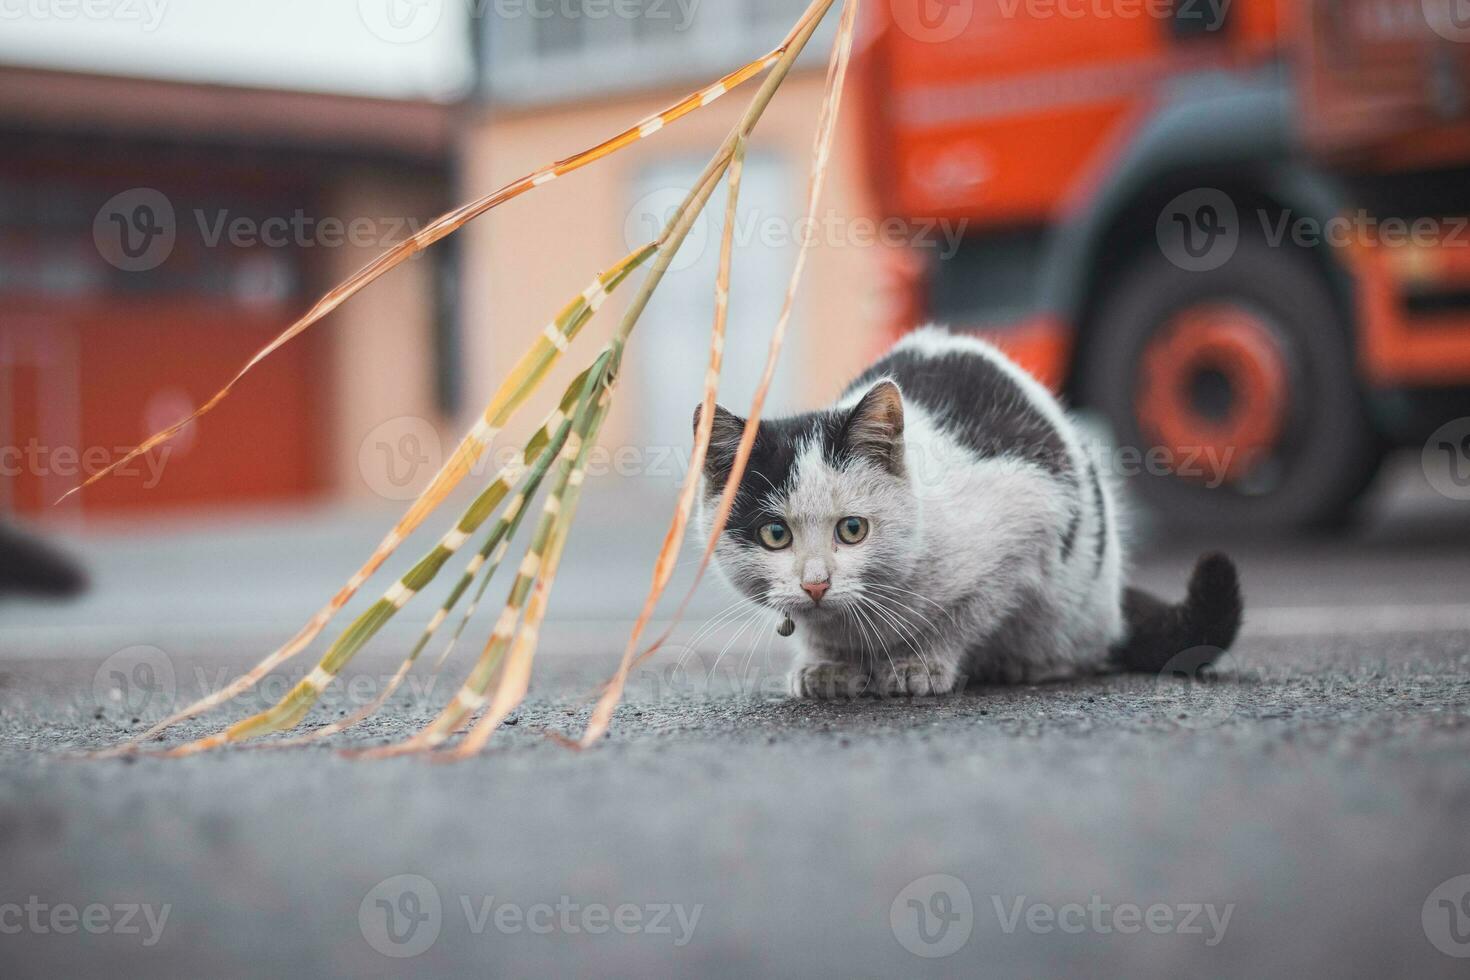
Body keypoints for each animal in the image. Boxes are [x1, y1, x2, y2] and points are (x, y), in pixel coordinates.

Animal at [696, 326, 1240, 693]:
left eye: (852, 529)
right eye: (775, 535)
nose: (815, 584)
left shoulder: (1028, 525)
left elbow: (964, 616)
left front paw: (920, 663)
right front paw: (827, 666)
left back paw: (1032, 664)